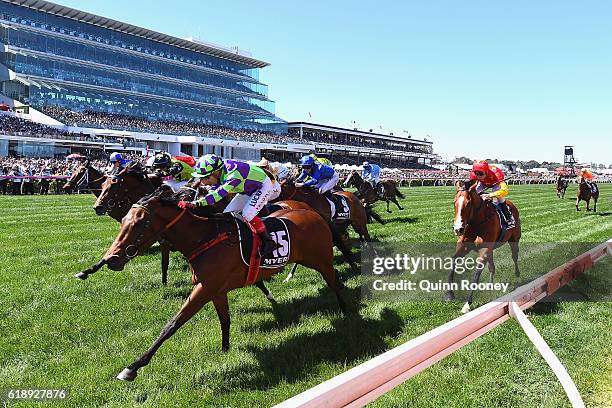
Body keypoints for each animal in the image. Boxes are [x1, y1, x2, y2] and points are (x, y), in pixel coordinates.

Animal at [103, 190, 346, 380]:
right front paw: (225, 350)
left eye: (139, 223)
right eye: (123, 220)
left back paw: (345, 313)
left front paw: (132, 367)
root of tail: (314, 213)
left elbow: (172, 324)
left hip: (321, 260)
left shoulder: (203, 289)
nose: (111, 259)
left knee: (336, 282)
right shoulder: (215, 290)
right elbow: (225, 320)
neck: (204, 238)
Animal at [448, 181, 524, 312]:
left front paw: (467, 304)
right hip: (491, 250)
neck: (476, 223)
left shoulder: (484, 249)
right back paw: (490, 285)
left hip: (513, 240)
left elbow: (476, 274)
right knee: (492, 267)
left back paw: (518, 276)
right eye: (454, 202)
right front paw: (449, 294)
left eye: (468, 203)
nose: (458, 229)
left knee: (514, 257)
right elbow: (452, 261)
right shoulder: (464, 246)